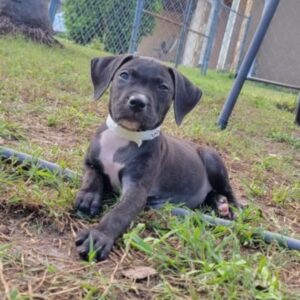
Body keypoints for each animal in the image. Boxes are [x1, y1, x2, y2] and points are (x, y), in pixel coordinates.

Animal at [75, 54, 241, 260]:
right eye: (124, 75)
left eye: (163, 87)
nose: (137, 102)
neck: (125, 136)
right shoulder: (90, 162)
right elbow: (92, 177)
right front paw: (89, 197)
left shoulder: (137, 189)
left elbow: (120, 212)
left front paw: (99, 235)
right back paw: (219, 204)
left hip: (213, 161)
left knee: (229, 191)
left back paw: (231, 208)